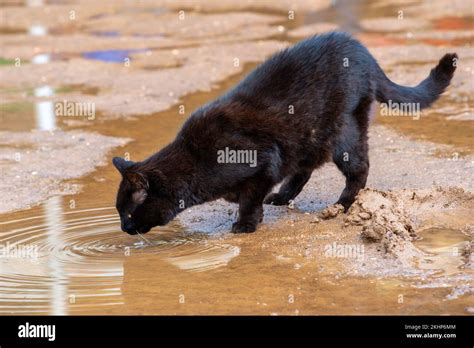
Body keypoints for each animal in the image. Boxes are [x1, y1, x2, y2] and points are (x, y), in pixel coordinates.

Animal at [113, 33, 458, 234]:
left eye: (127, 212)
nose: (123, 228)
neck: (195, 163)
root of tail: (359, 48)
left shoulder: (264, 160)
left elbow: (251, 198)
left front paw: (246, 224)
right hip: (309, 138)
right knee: (304, 169)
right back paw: (282, 196)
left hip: (343, 132)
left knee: (359, 170)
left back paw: (343, 206)